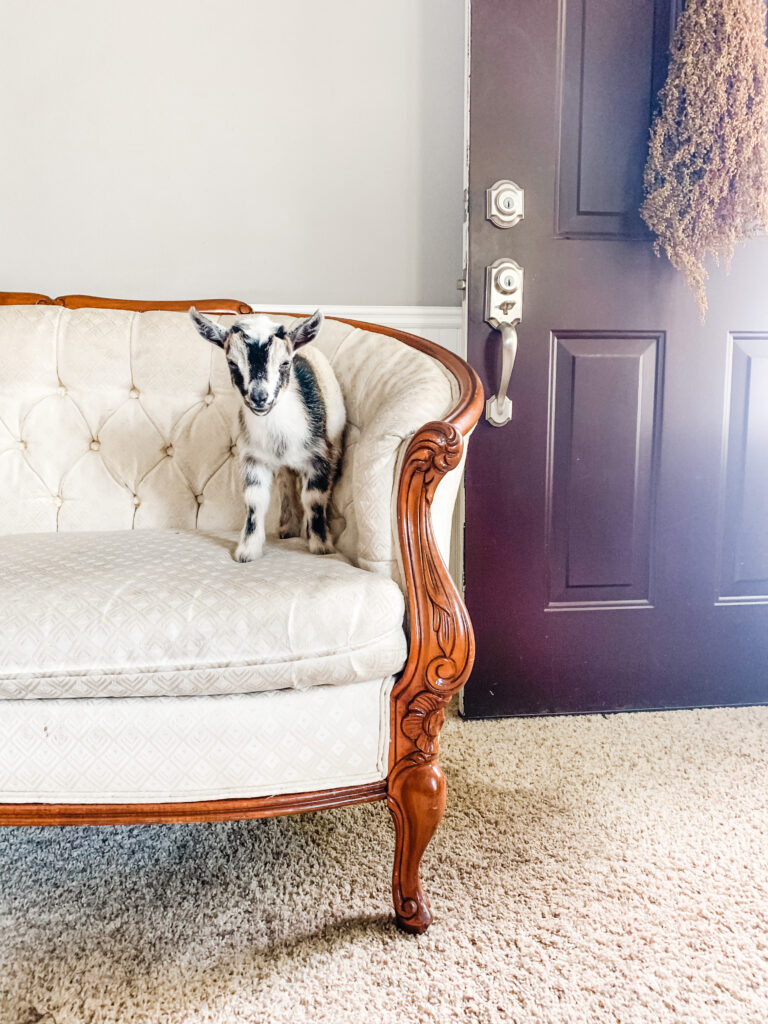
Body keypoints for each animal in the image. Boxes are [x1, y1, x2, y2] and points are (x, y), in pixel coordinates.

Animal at [191, 307, 348, 565]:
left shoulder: (320, 455)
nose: (259, 397)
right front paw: (247, 551)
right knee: (285, 481)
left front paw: (321, 546)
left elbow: (314, 498)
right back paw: (287, 528)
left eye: (285, 363)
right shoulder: (253, 458)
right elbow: (255, 501)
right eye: (232, 363)